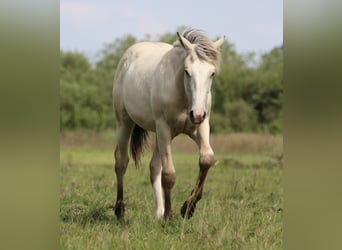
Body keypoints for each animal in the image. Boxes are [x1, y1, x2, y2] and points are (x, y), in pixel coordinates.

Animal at [112, 29, 224, 220]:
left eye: (212, 73)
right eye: (187, 71)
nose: (197, 114)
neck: (183, 97)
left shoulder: (200, 127)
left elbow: (207, 159)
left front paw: (188, 208)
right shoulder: (164, 127)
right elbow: (169, 174)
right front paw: (170, 216)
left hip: (160, 134)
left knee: (154, 167)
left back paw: (159, 213)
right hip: (125, 123)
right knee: (121, 162)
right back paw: (120, 212)